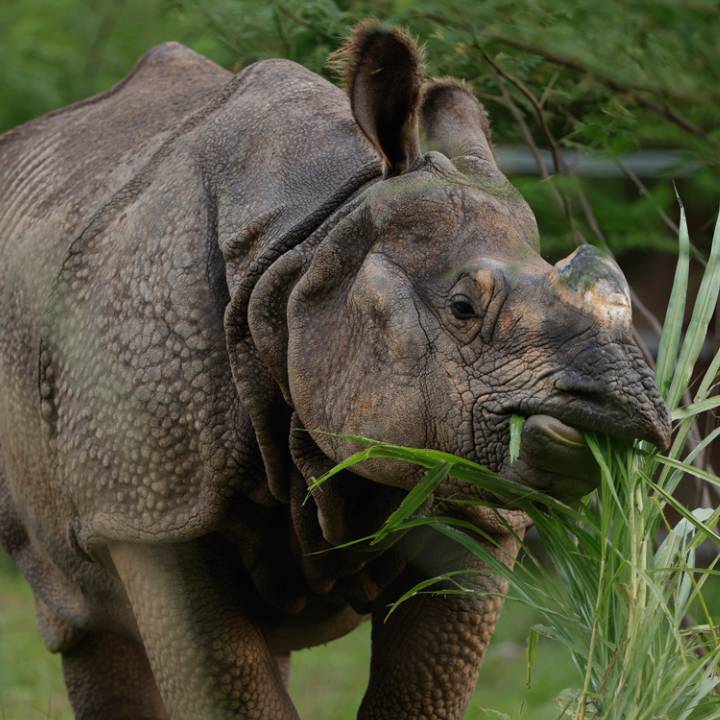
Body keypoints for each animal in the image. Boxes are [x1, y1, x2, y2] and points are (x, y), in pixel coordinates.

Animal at [0, 22, 670, 720]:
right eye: (462, 308)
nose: (627, 408)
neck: (309, 245)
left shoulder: (471, 485)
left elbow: (419, 689)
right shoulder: (149, 508)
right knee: (81, 615)